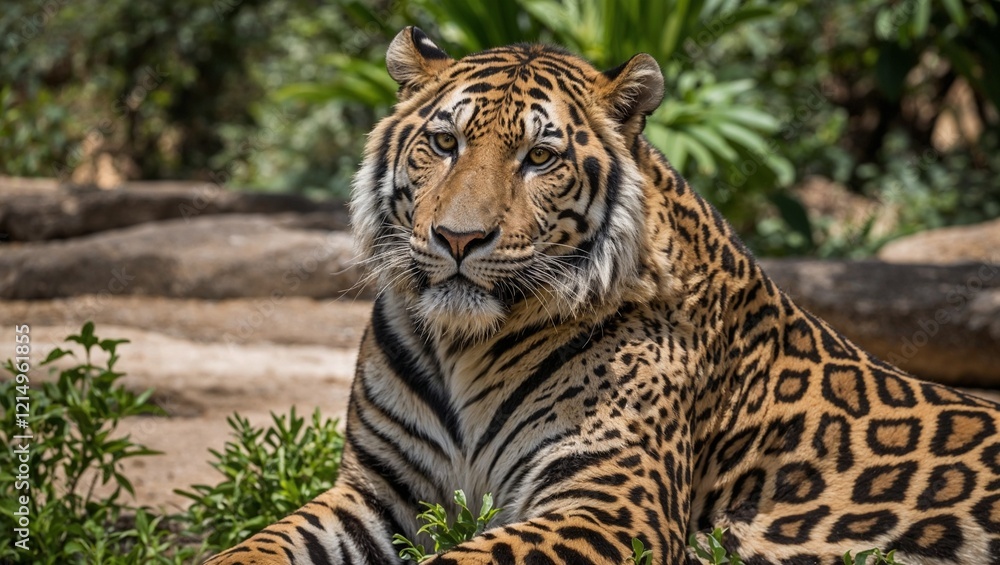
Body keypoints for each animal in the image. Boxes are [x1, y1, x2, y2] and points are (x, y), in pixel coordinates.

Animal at [206, 27, 1000, 565]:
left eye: (540, 157)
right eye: (445, 143)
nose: (459, 238)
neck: (464, 344)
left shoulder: (608, 502)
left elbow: (466, 558)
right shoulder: (376, 489)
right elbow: (260, 544)